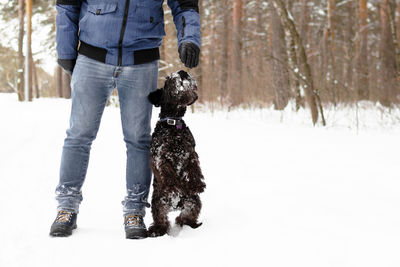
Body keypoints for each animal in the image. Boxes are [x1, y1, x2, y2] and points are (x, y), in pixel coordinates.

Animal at [147, 70, 206, 238]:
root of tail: (175, 205)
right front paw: (173, 186)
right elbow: (167, 171)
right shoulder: (159, 155)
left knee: (184, 218)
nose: (182, 71)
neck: (173, 124)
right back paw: (155, 231)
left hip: (193, 202)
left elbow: (194, 169)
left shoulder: (191, 152)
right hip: (158, 205)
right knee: (162, 222)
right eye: (167, 80)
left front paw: (198, 185)